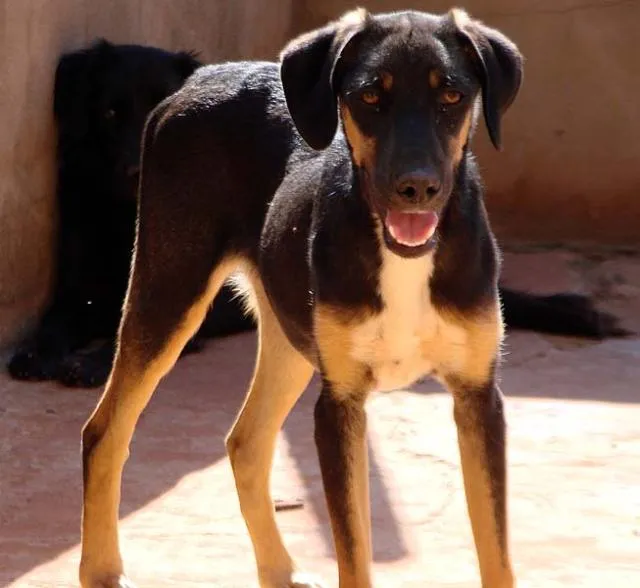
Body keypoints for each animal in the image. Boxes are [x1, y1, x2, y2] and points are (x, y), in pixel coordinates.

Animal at [7, 42, 254, 390]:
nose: (138, 172)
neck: (125, 218)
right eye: (110, 113)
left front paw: (90, 364)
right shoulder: (78, 294)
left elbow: (126, 342)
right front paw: (36, 354)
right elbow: (53, 323)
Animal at [77, 6, 628, 584]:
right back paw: (102, 571)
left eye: (452, 95)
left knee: (246, 442)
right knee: (104, 432)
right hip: (169, 291)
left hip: (288, 334)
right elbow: (353, 549)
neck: (404, 257)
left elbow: (494, 550)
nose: (416, 188)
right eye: (369, 95)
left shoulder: (478, 396)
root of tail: (194, 82)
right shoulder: (339, 402)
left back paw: (280, 571)